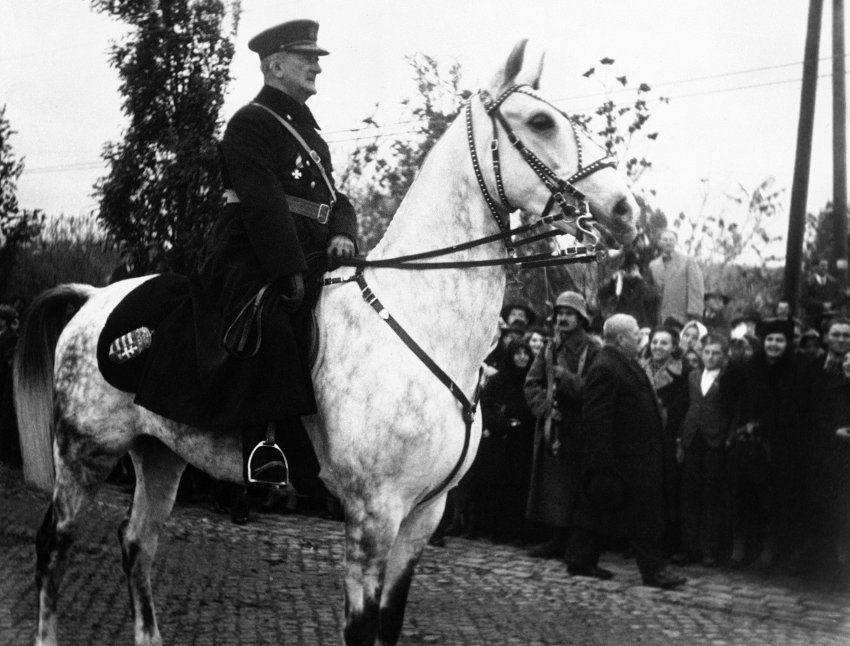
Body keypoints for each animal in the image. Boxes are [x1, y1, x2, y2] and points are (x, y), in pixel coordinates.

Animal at [14, 40, 636, 646]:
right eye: (541, 121)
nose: (626, 209)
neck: (424, 322)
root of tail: (95, 297)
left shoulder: (424, 517)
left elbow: (389, 624)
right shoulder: (373, 514)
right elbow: (361, 628)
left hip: (160, 453)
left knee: (137, 542)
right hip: (85, 452)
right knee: (54, 542)